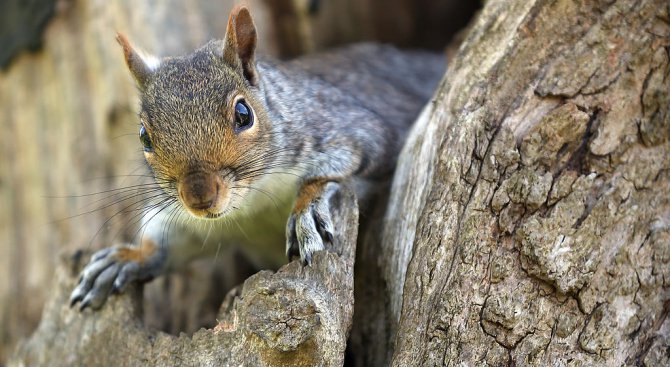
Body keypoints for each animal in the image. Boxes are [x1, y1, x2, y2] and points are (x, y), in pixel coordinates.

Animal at [69, 5, 446, 310]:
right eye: (144, 136)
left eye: (243, 114)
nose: (199, 198)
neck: (252, 203)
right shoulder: (193, 221)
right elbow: (172, 240)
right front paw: (127, 257)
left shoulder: (354, 131)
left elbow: (337, 168)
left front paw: (307, 208)